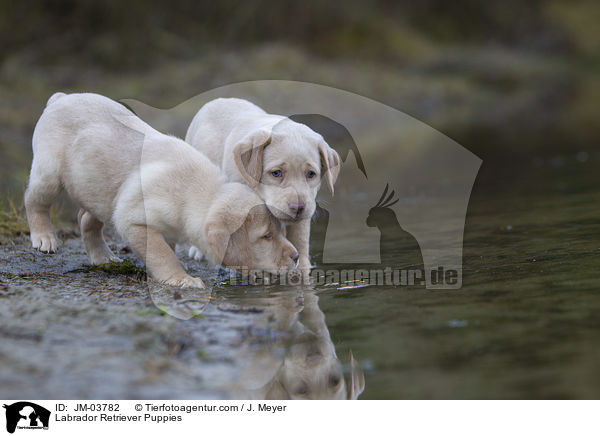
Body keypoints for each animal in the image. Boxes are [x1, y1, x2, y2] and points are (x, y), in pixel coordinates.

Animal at [25, 92, 298, 288]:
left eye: (279, 231)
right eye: (266, 236)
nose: (296, 257)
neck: (197, 192)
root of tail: (60, 98)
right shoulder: (134, 221)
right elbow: (162, 254)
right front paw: (182, 279)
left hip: (102, 193)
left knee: (85, 219)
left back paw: (103, 256)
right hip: (49, 175)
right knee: (34, 202)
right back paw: (44, 238)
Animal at [185, 98, 340, 276]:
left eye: (311, 174)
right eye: (276, 173)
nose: (298, 207)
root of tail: (218, 100)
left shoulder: (304, 215)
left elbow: (299, 239)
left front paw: (302, 268)